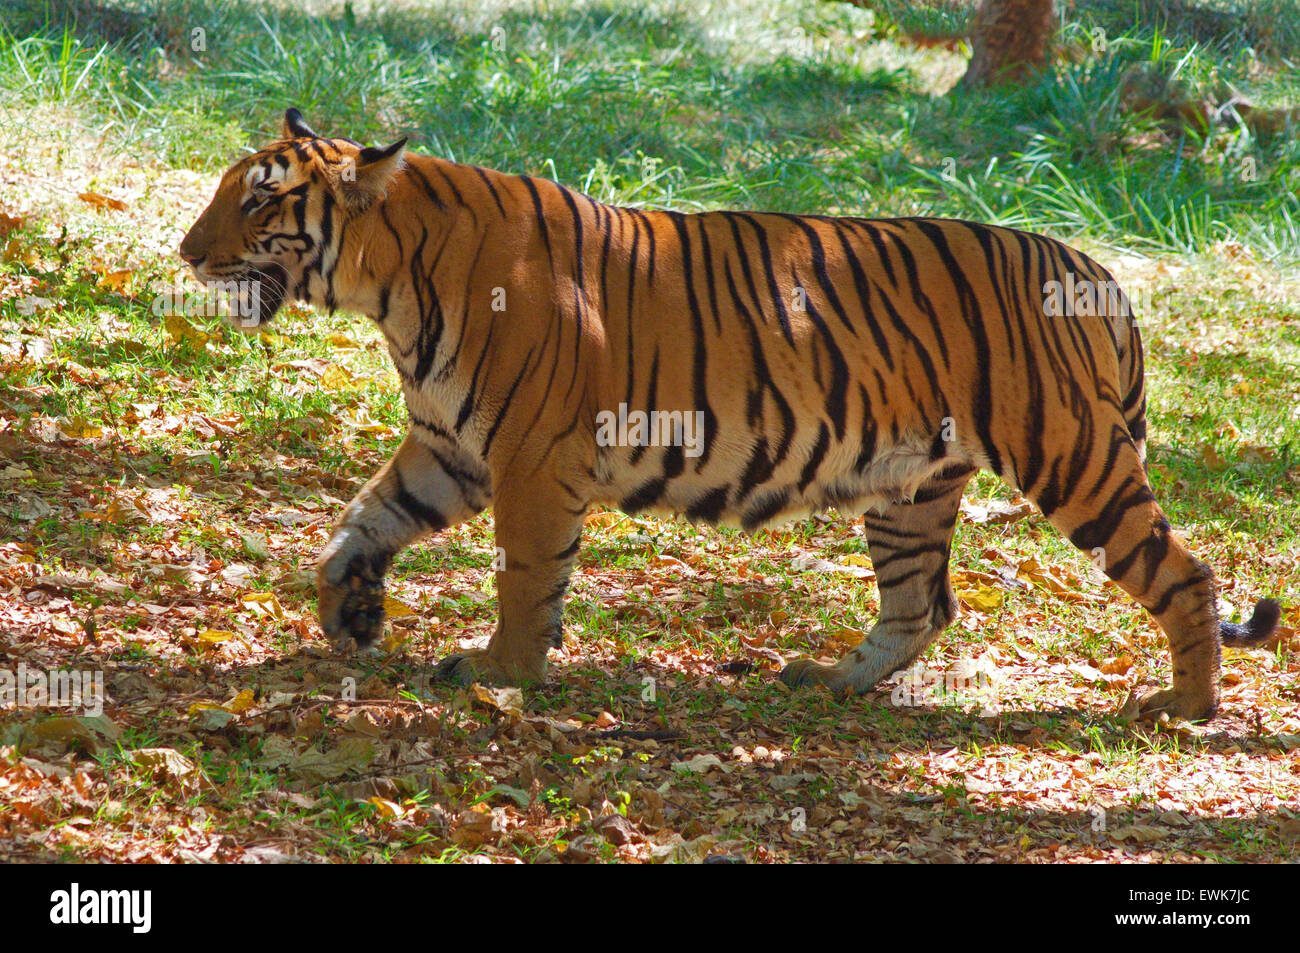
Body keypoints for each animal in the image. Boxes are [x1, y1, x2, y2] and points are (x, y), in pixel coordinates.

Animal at [178, 109, 1284, 722]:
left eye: (257, 202)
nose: (187, 252)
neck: (388, 286)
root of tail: (1095, 269)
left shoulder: (530, 457)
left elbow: (524, 574)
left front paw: (502, 671)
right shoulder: (447, 446)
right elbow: (357, 524)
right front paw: (350, 609)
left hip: (1072, 456)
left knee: (1184, 574)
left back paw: (1184, 707)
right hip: (911, 488)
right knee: (919, 605)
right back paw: (827, 680)